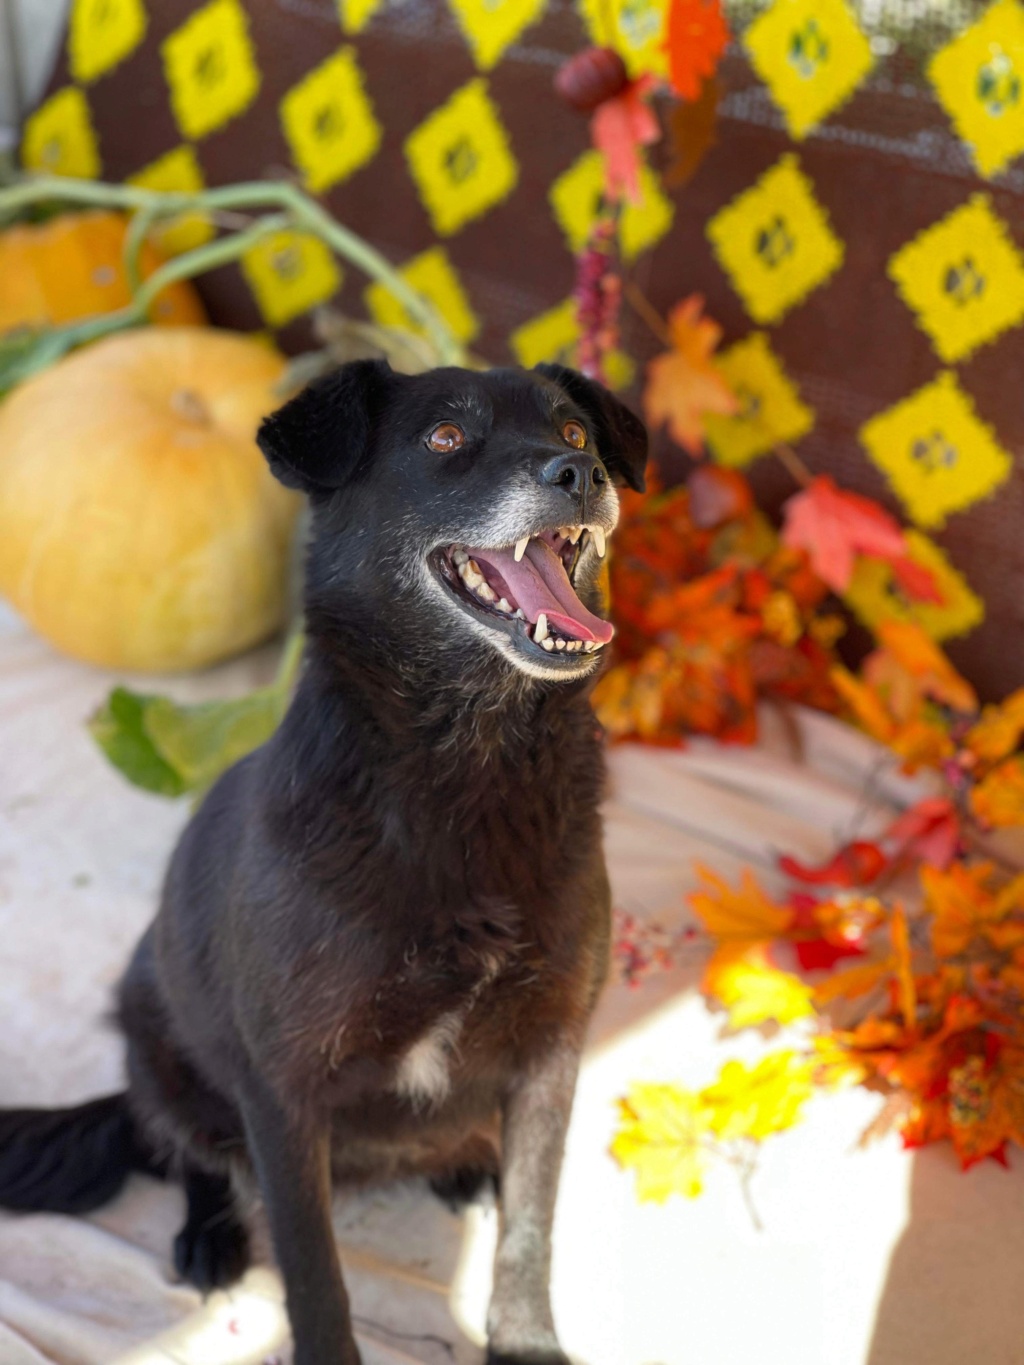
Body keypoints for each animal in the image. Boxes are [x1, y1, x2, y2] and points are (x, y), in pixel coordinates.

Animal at [0, 363, 644, 1365]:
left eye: (575, 428)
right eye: (446, 438)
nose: (579, 471)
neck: (471, 767)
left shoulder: (552, 1046)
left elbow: (531, 1227)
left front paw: (526, 1339)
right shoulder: (283, 1083)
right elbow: (312, 1265)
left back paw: (466, 1163)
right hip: (163, 1047)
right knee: (191, 1153)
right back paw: (209, 1231)